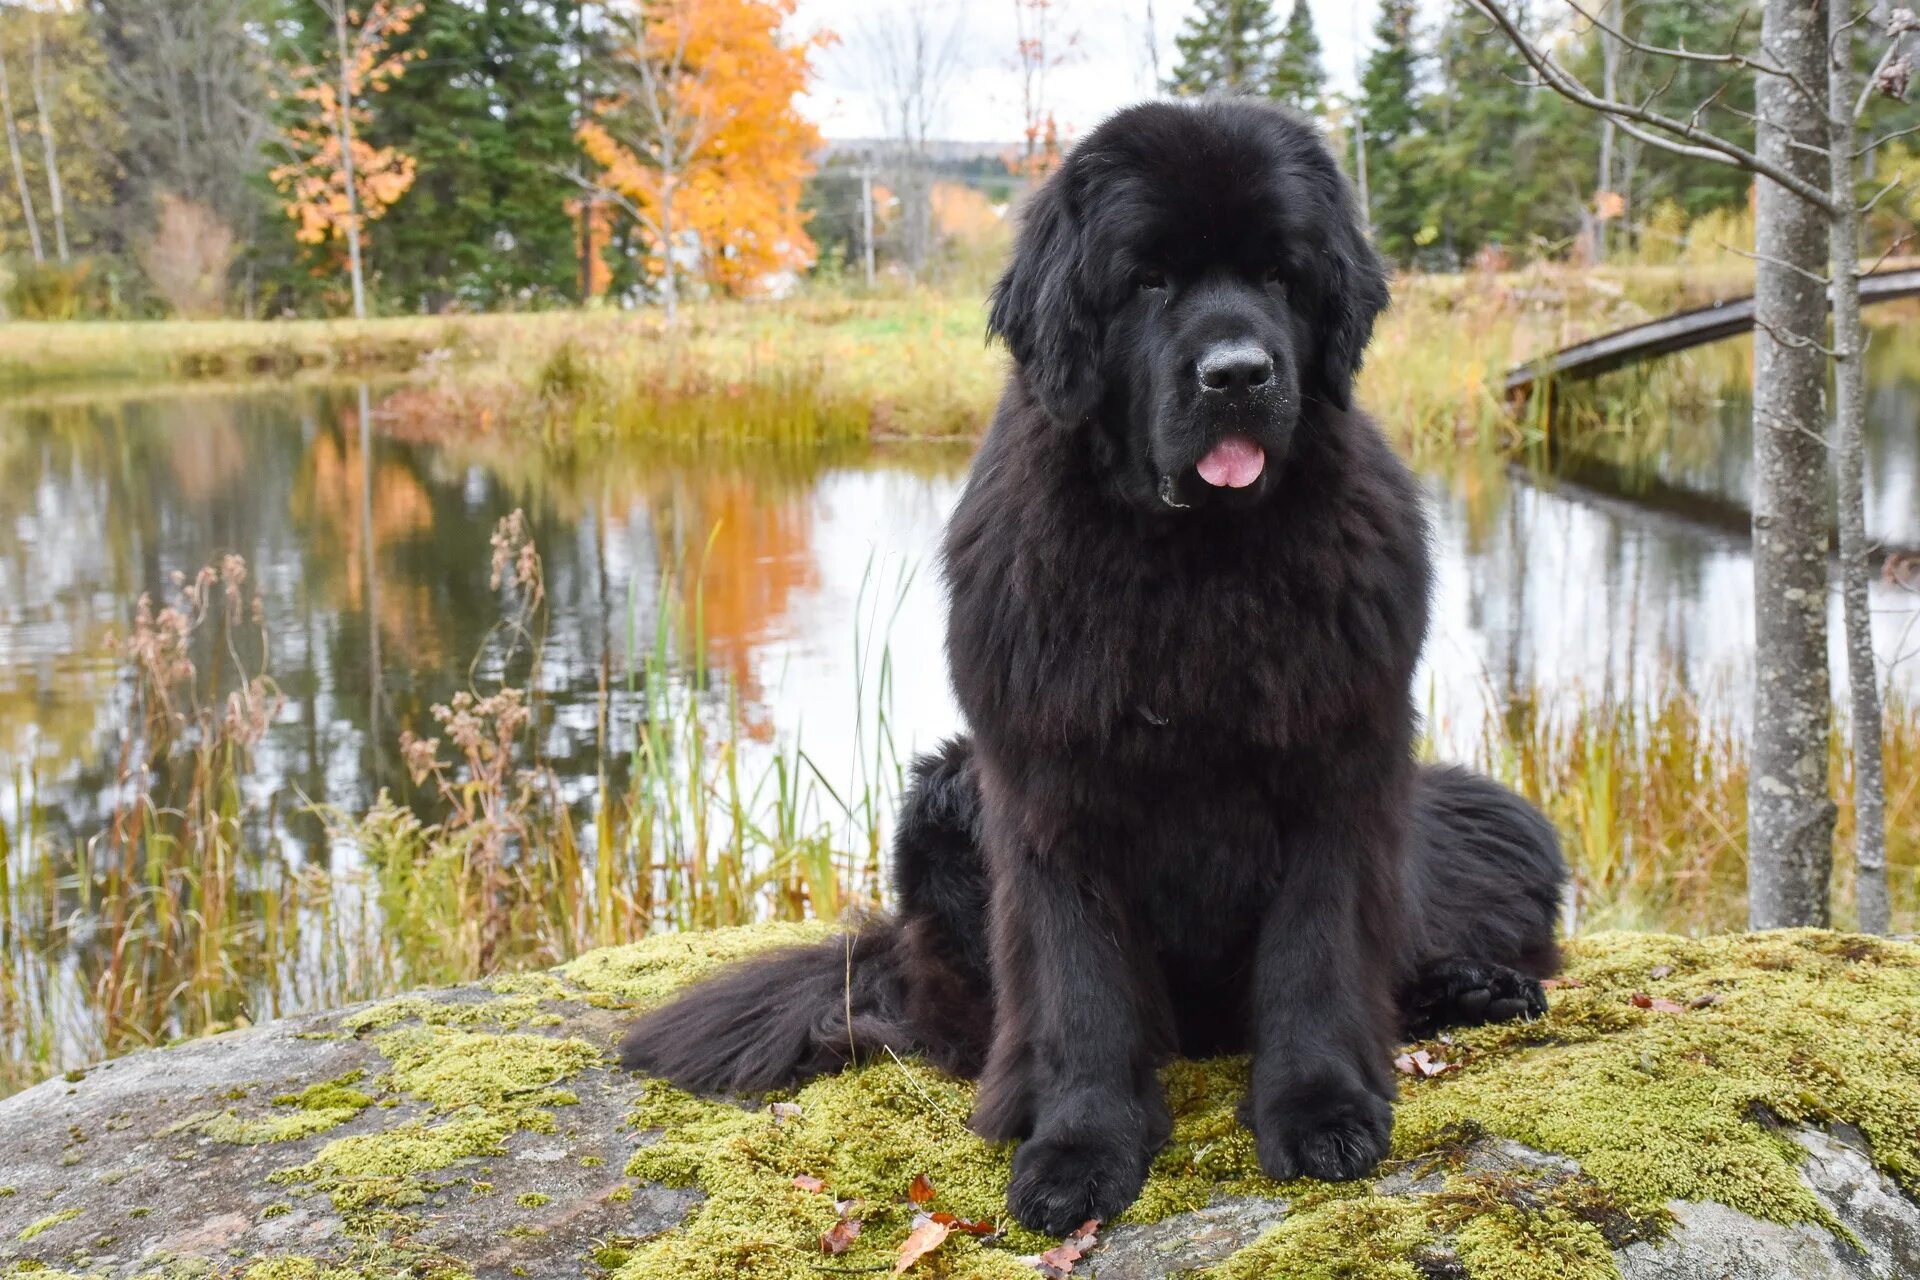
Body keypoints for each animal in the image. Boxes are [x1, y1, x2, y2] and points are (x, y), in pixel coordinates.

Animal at [622, 102, 1566, 1243]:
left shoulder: (1339, 769)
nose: (1239, 373)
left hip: (1490, 810)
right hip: (942, 799)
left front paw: (1323, 1111)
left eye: (1281, 274)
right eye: (1148, 280)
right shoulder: (1053, 791)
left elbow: (1319, 953)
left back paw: (1472, 987)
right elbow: (1081, 989)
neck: (1194, 566)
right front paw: (1077, 1149)